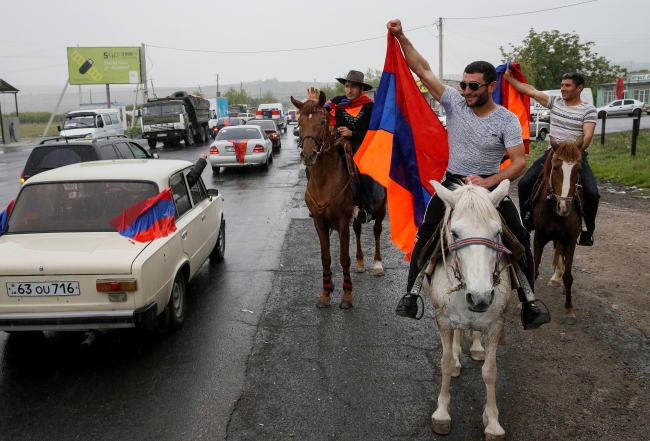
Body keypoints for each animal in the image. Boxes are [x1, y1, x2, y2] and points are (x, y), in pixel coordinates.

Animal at [292, 91, 388, 308]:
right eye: (299, 122)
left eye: (323, 121)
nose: (308, 154)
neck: (325, 181)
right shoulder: (319, 223)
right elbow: (326, 257)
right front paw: (326, 293)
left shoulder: (342, 222)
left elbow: (344, 258)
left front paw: (347, 295)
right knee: (359, 231)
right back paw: (360, 262)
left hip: (381, 210)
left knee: (377, 232)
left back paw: (377, 264)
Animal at [420, 180, 516, 440]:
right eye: (454, 233)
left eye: (498, 232)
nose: (480, 296)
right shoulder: (443, 319)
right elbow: (444, 362)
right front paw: (442, 414)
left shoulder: (496, 323)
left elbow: (490, 371)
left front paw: (492, 422)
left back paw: (475, 348)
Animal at [532, 134, 584, 324]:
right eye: (555, 168)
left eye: (578, 169)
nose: (564, 207)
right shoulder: (539, 237)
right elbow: (534, 270)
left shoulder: (570, 240)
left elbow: (569, 276)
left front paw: (569, 309)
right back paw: (556, 277)